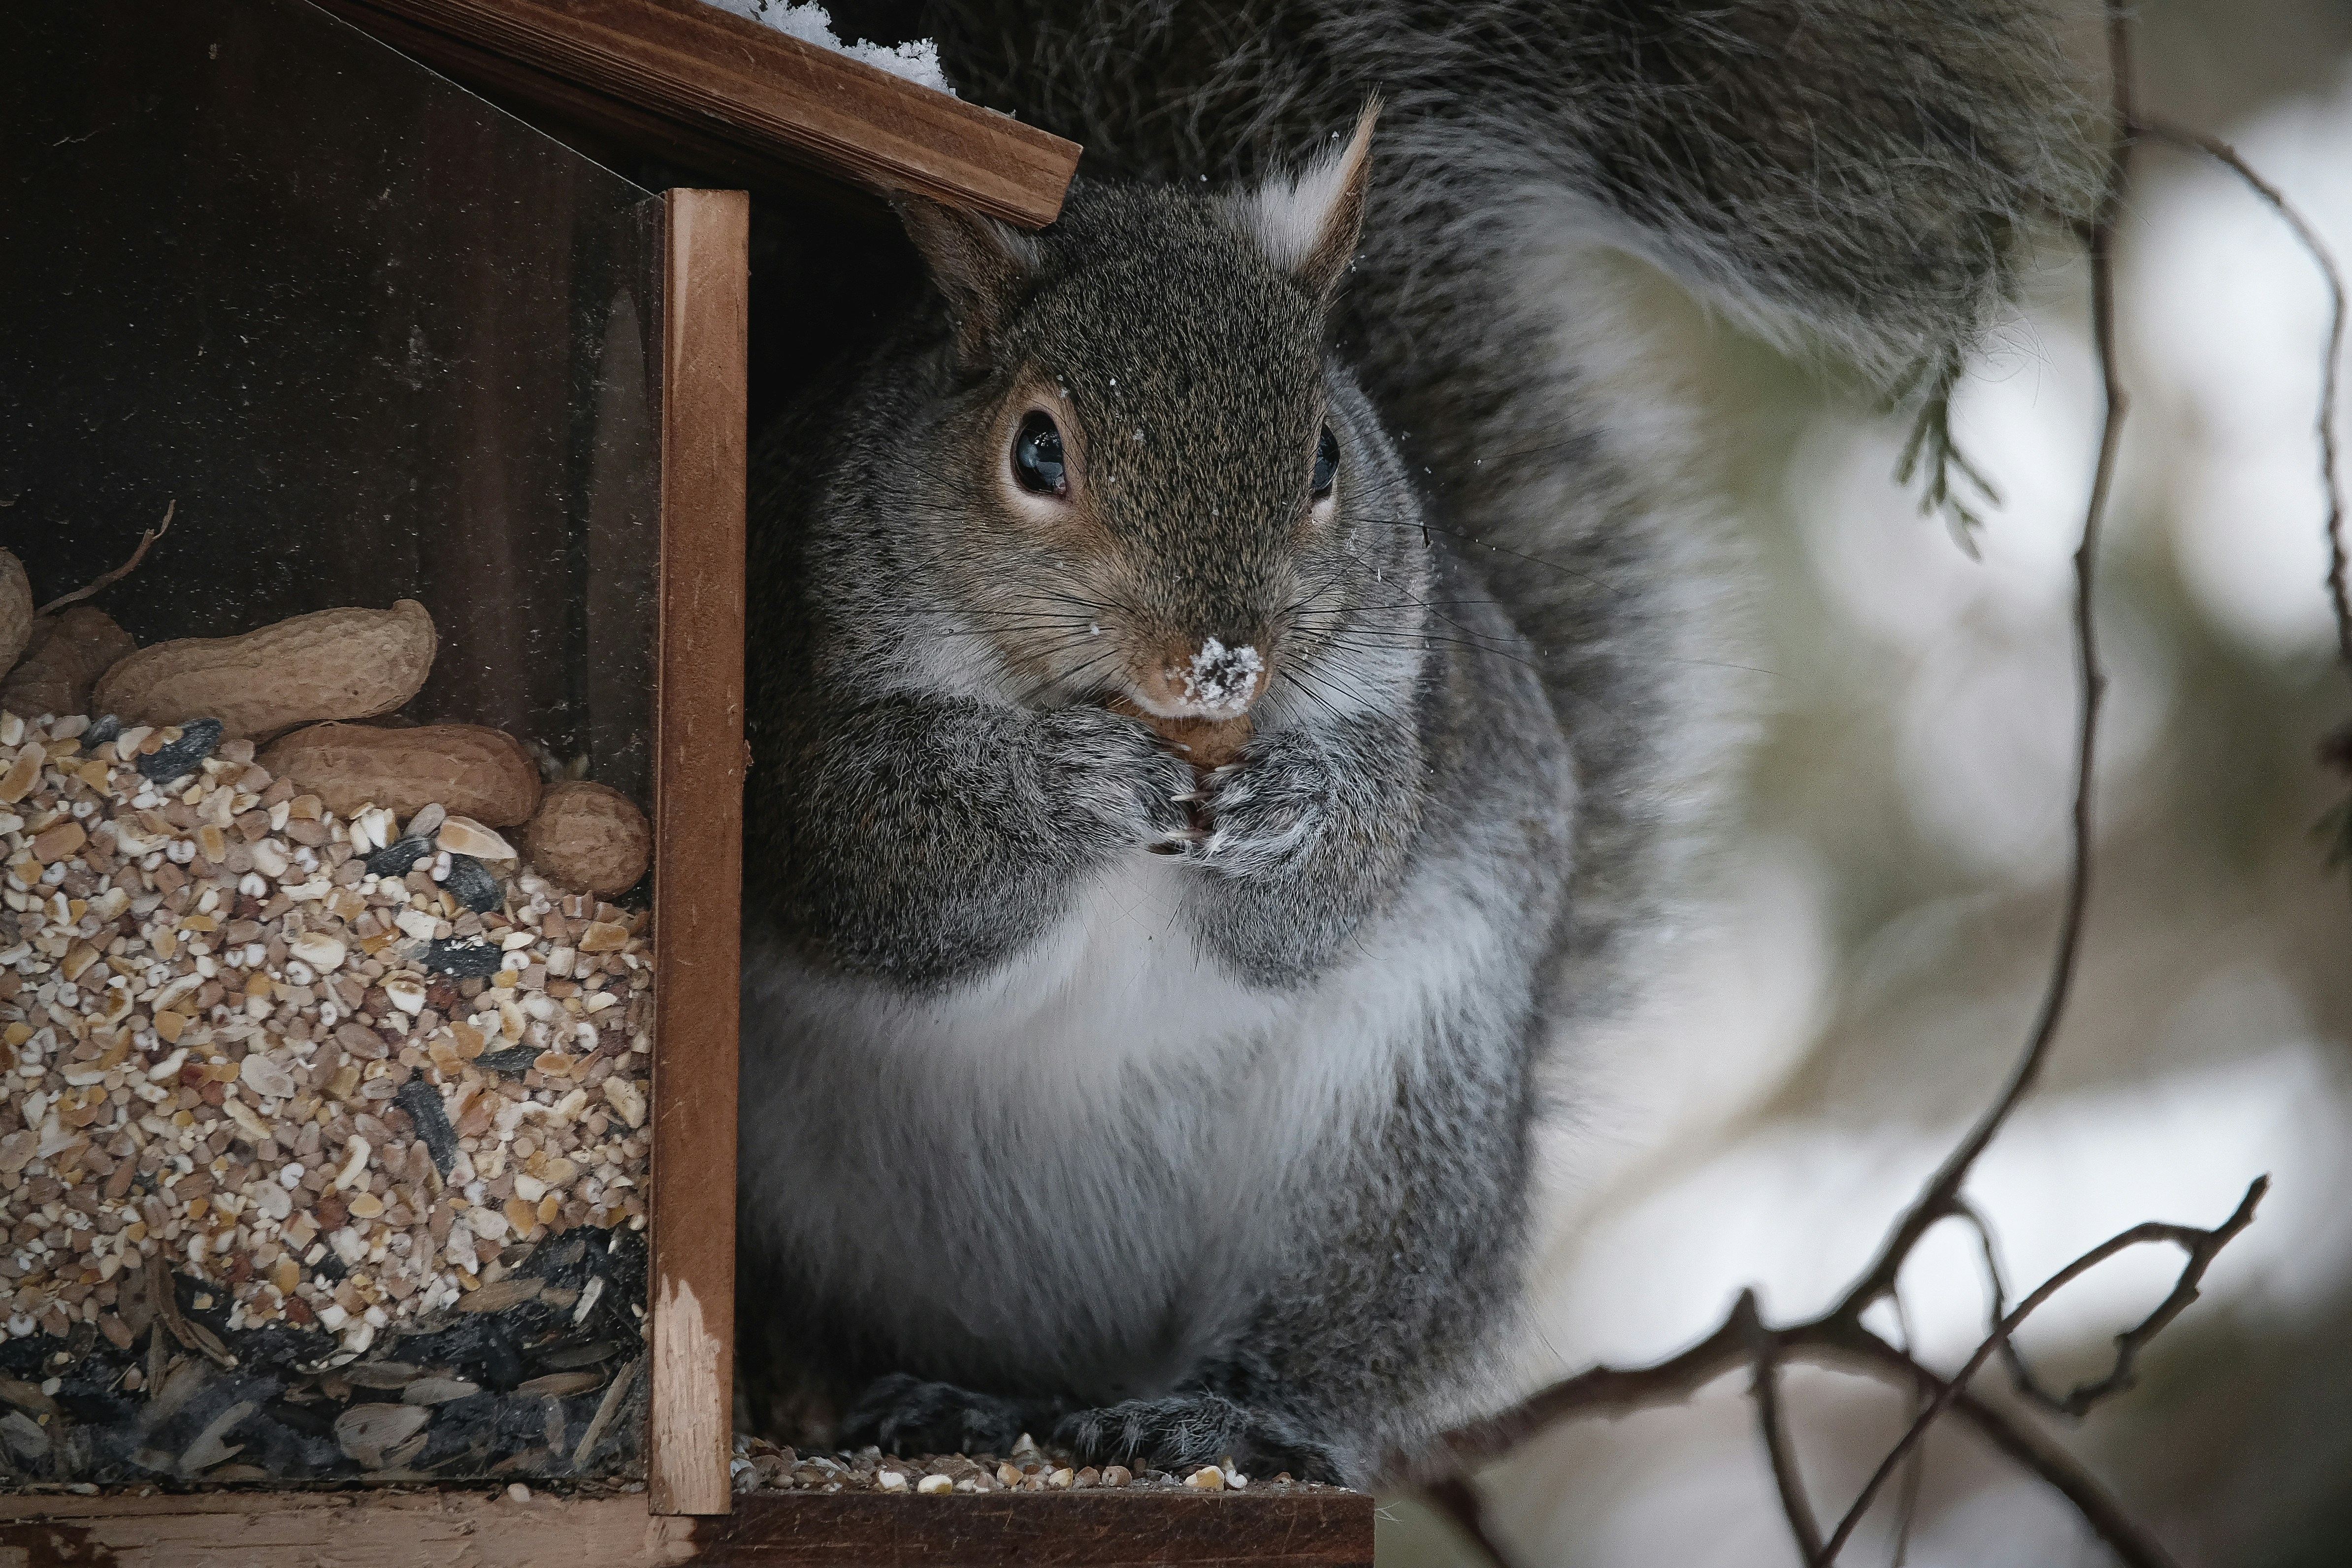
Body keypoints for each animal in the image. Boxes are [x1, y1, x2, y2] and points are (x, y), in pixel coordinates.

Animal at [735, 0, 2099, 1485]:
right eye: (1035, 452)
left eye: (1326, 453)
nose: (1219, 662)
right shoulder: (797, 710)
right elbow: (885, 879)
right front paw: (1069, 782)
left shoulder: (1416, 715)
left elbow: (1327, 898)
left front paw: (1295, 809)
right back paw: (959, 1402)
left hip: (1392, 1152)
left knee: (1339, 1351)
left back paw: (1233, 1412)